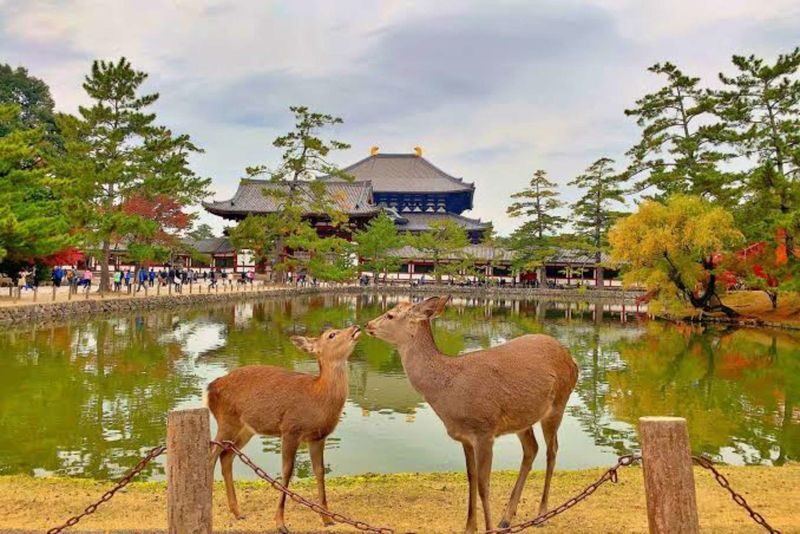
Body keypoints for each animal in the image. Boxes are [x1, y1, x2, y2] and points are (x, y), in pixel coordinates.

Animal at [207, 324, 361, 533]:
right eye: (331, 335)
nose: (355, 327)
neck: (318, 398)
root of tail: (210, 388)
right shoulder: (290, 429)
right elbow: (287, 471)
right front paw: (280, 523)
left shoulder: (318, 437)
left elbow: (320, 471)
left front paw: (327, 518)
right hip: (226, 421)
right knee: (211, 455)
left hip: (246, 429)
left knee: (226, 456)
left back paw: (238, 512)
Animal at [366, 296, 578, 534]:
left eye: (390, 315)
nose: (367, 325)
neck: (449, 390)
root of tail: (572, 360)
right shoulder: (465, 437)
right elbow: (471, 478)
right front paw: (470, 527)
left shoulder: (485, 430)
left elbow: (484, 485)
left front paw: (488, 528)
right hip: (523, 418)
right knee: (532, 449)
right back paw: (506, 519)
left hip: (559, 403)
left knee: (552, 451)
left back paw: (542, 514)